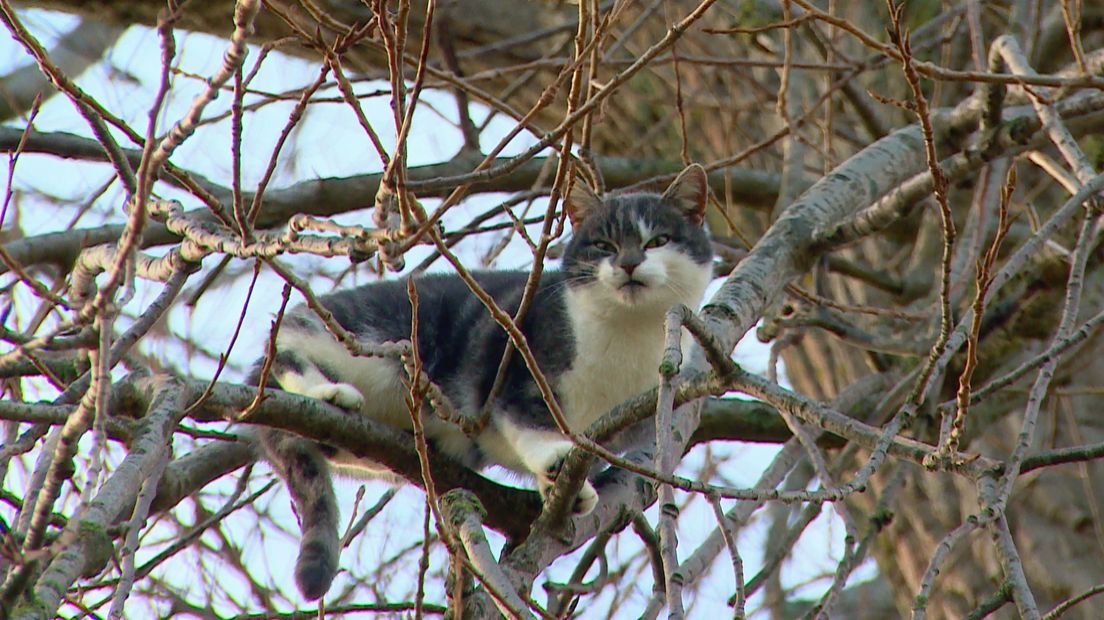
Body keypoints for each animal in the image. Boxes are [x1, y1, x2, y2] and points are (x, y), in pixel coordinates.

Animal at [263, 162, 719, 595]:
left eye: (658, 240)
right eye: (603, 245)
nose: (628, 262)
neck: (627, 338)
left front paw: (563, 490)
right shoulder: (514, 362)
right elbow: (525, 418)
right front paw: (555, 458)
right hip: (368, 335)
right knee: (288, 344)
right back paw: (327, 390)